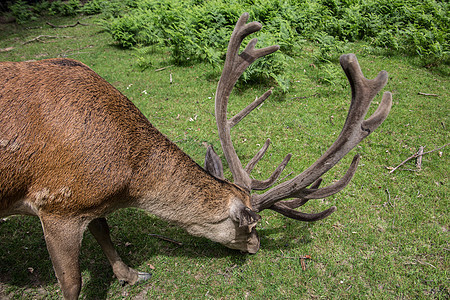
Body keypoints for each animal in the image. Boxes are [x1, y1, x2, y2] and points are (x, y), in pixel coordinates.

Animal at [0, 12, 392, 300]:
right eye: (250, 226)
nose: (255, 247)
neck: (126, 179)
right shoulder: (57, 205)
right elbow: (72, 283)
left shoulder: (86, 200)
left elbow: (104, 230)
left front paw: (132, 275)